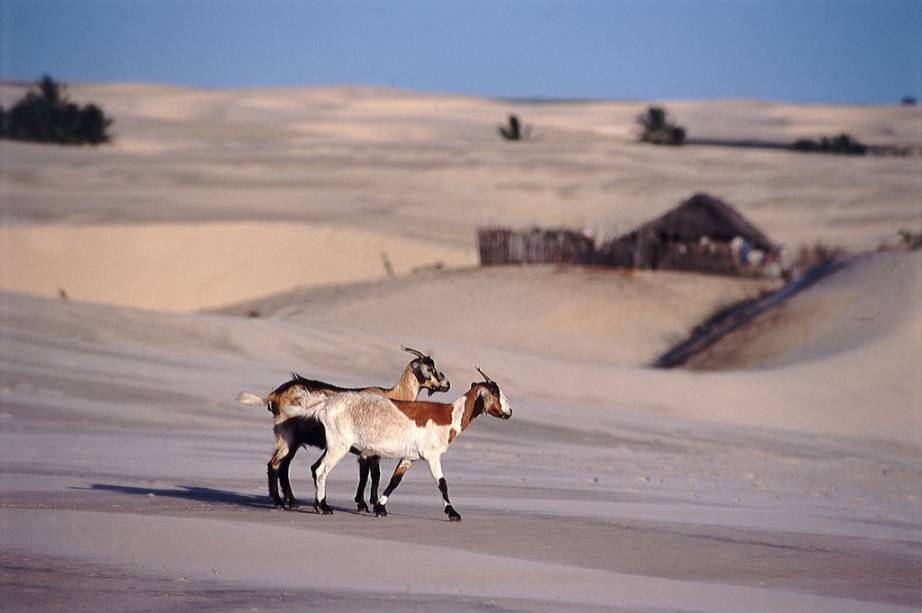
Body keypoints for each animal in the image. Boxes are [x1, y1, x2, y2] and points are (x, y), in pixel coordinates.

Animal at [235, 346, 448, 510]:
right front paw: (366, 504)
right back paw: (280, 502)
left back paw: (292, 502)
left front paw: (365, 503)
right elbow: (372, 475)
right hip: (286, 436)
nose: (447, 384)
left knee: (283, 466)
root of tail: (275, 395)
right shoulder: (370, 452)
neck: (394, 395)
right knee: (274, 465)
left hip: (292, 441)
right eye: (430, 368)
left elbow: (368, 475)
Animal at [308, 368, 510, 520]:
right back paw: (322, 507)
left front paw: (380, 508)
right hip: (339, 445)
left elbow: (395, 481)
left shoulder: (409, 457)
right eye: (495, 393)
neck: (449, 415)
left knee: (315, 467)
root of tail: (326, 406)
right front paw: (453, 513)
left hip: (333, 445)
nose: (509, 412)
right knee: (322, 470)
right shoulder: (432, 456)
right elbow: (442, 483)